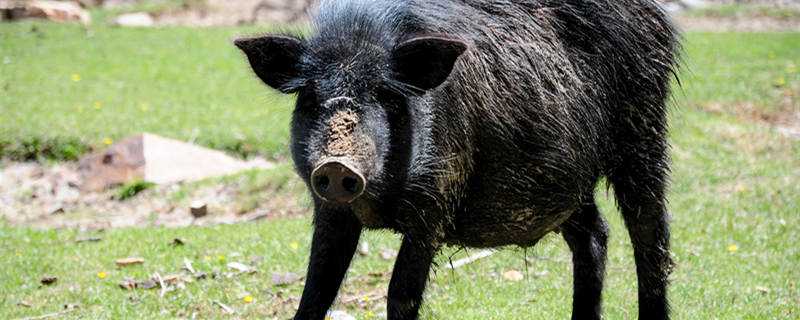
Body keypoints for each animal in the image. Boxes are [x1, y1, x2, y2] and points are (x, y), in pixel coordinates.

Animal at [234, 1, 680, 318]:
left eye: (385, 94)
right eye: (311, 97)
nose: (336, 164)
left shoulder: (436, 199)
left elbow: (401, 293)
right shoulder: (329, 208)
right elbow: (315, 291)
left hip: (644, 132)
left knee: (650, 237)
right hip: (564, 182)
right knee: (594, 235)